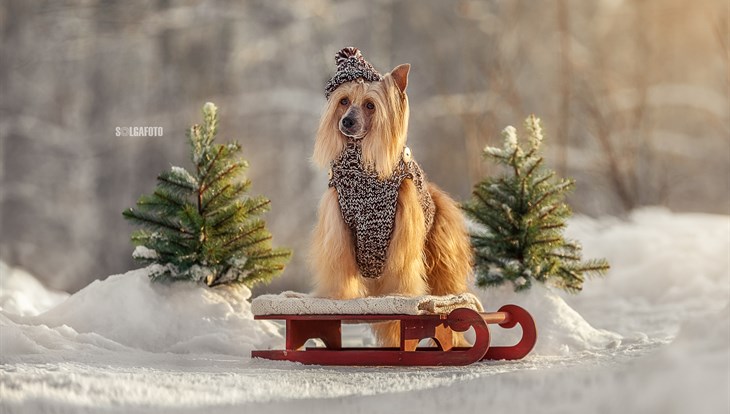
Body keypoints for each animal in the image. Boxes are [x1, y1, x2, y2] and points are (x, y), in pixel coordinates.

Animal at [308, 47, 472, 346]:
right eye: (343, 101)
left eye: (370, 106)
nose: (346, 122)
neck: (362, 171)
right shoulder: (338, 226)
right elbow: (339, 266)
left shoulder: (402, 232)